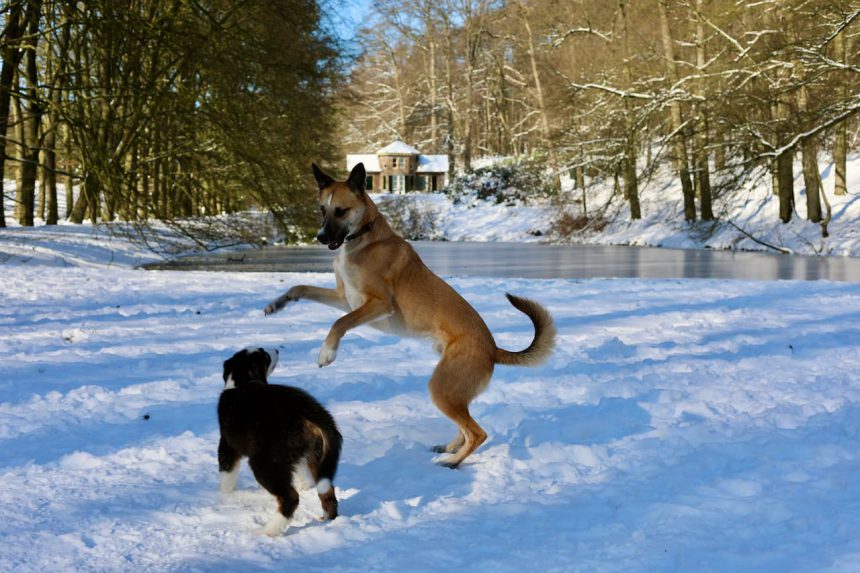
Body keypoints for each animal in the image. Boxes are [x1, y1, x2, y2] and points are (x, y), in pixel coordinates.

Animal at [217, 348, 340, 536]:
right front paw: (304, 485)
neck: (241, 381)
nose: (275, 350)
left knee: (290, 498)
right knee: (327, 491)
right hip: (317, 455)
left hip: (266, 462)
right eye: (265, 355)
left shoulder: (227, 445)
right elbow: (301, 475)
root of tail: (309, 411)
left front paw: (226, 495)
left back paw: (268, 531)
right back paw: (327, 519)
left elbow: (226, 473)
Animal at [264, 163, 556, 466]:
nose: (320, 238)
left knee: (477, 433)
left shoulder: (377, 305)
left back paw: (452, 462)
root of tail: (493, 349)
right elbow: (301, 288)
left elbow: (339, 323)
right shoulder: (345, 299)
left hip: (441, 388)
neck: (363, 239)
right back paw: (449, 449)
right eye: (322, 209)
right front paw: (277, 304)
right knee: (465, 427)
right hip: (452, 390)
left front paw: (326, 353)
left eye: (341, 211)